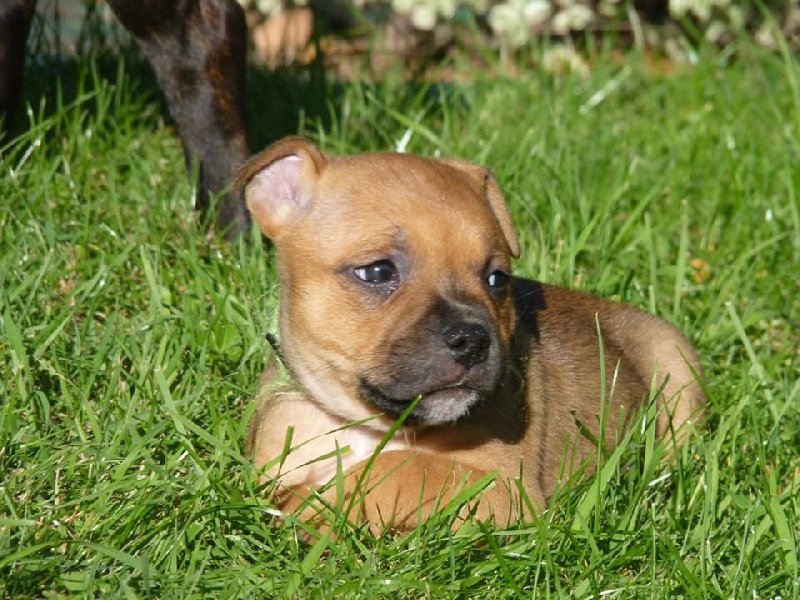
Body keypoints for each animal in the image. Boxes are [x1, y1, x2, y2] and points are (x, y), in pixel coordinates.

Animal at [235, 136, 705, 532]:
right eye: (378, 272)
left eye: (497, 280)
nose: (473, 340)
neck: (367, 425)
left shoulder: (505, 490)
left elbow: (400, 469)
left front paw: (323, 504)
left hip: (676, 363)